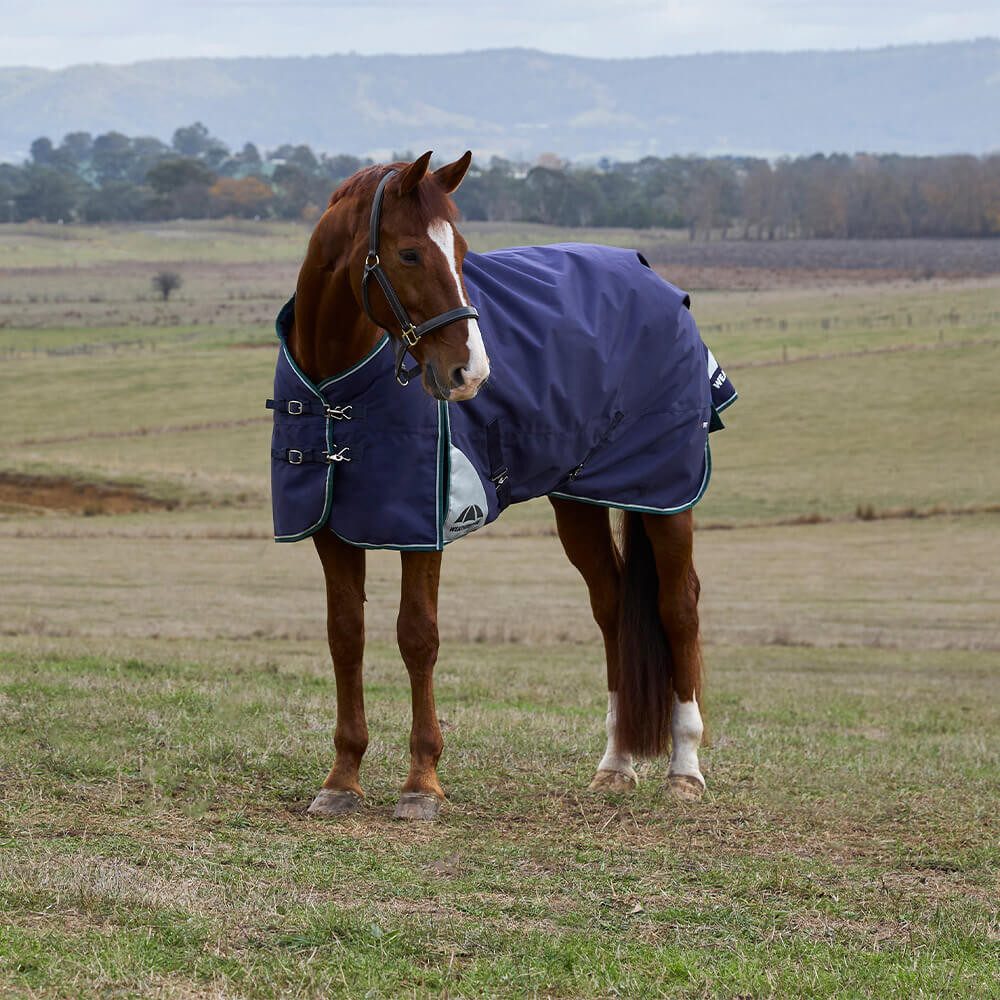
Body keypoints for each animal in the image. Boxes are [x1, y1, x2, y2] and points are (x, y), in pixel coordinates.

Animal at [271, 151, 731, 821]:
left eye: (462, 252)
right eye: (410, 253)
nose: (471, 372)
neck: (339, 390)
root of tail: (653, 279)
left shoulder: (425, 529)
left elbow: (418, 637)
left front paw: (421, 783)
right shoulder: (331, 530)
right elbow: (345, 638)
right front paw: (342, 779)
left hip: (665, 493)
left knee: (679, 607)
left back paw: (685, 768)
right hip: (578, 501)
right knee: (614, 605)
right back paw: (616, 762)